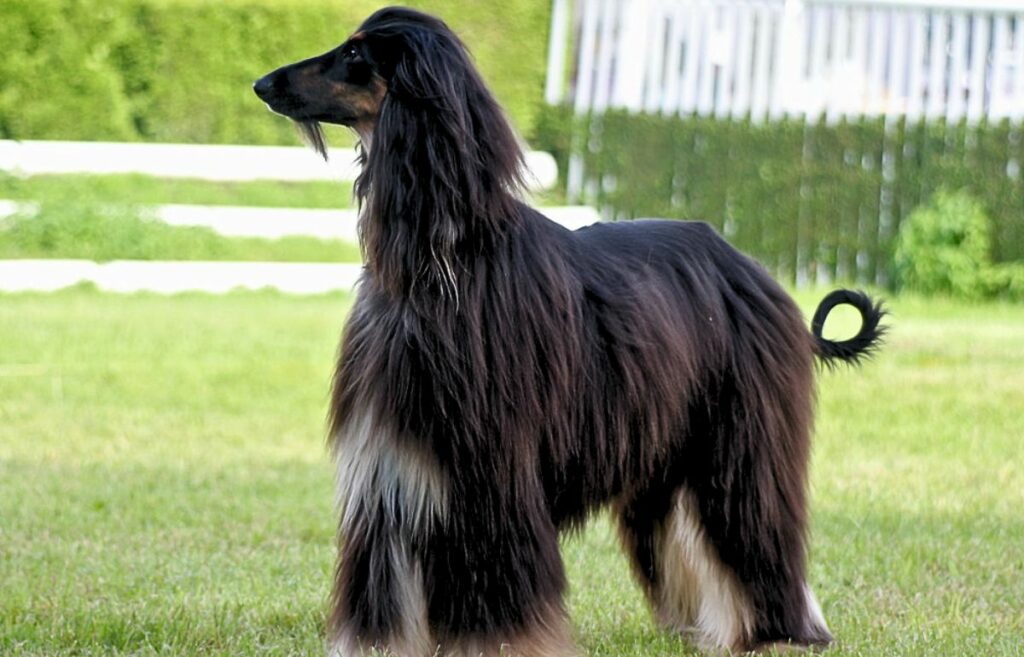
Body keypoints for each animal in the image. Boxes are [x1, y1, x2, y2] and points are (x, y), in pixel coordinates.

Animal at [253, 6, 880, 654]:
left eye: (356, 54)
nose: (262, 84)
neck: (438, 261)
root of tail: (756, 271)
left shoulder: (489, 474)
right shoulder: (391, 472)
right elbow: (382, 587)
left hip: (739, 441)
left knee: (753, 526)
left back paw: (779, 631)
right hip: (665, 449)